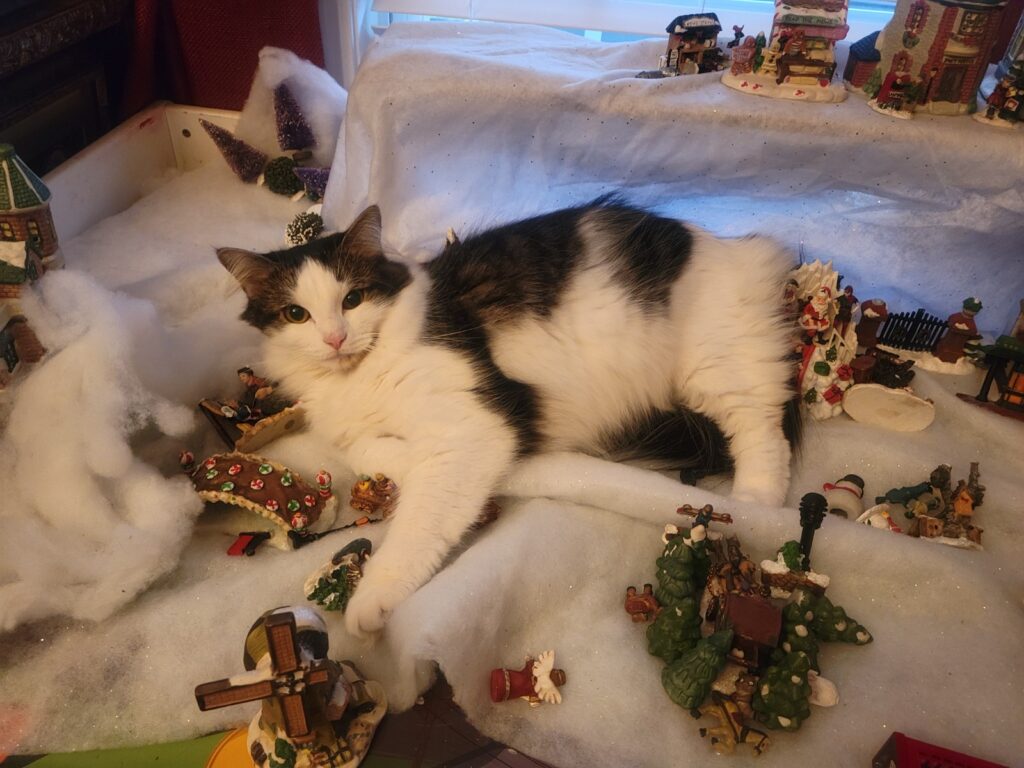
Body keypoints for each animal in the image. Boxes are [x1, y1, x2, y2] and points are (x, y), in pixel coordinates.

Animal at [217, 199, 799, 637]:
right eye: (297, 315)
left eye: (353, 299)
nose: (335, 338)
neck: (356, 376)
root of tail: (735, 247)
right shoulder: (362, 432)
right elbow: (371, 450)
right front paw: (402, 460)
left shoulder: (471, 427)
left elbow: (419, 524)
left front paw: (369, 606)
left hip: (714, 366)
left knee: (762, 429)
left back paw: (757, 502)